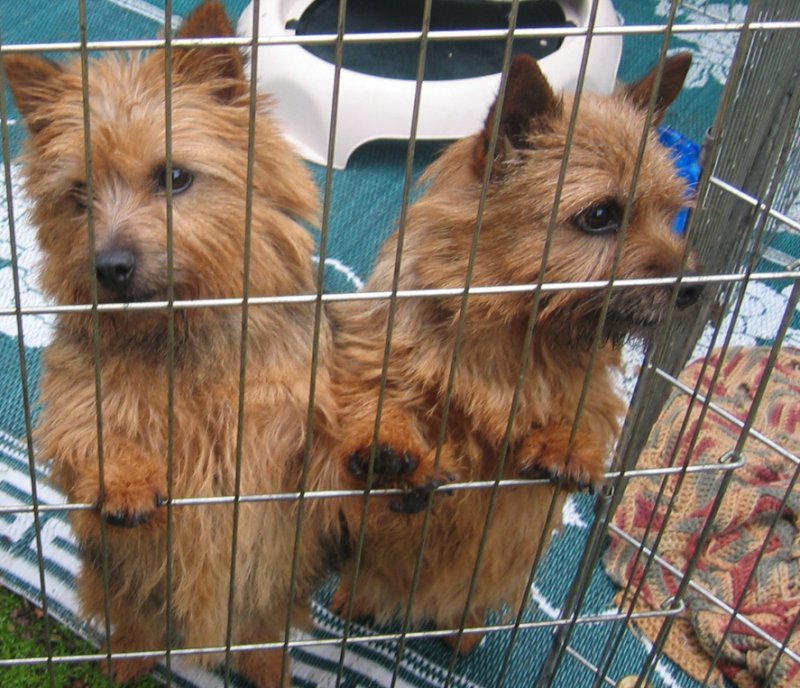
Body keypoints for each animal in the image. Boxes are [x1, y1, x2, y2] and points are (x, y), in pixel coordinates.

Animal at [3, 2, 334, 684]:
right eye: (79, 194)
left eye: (174, 177)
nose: (110, 267)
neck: (177, 332)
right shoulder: (76, 399)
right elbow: (82, 434)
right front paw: (126, 479)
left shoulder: (286, 411)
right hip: (120, 598)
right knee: (130, 639)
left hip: (272, 606)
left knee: (266, 643)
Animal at [328, 52, 696, 652]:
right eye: (600, 215)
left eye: (672, 212)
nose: (697, 288)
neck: (516, 334)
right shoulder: (377, 359)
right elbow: (379, 399)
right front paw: (388, 448)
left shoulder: (590, 392)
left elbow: (588, 415)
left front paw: (566, 447)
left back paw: (464, 631)